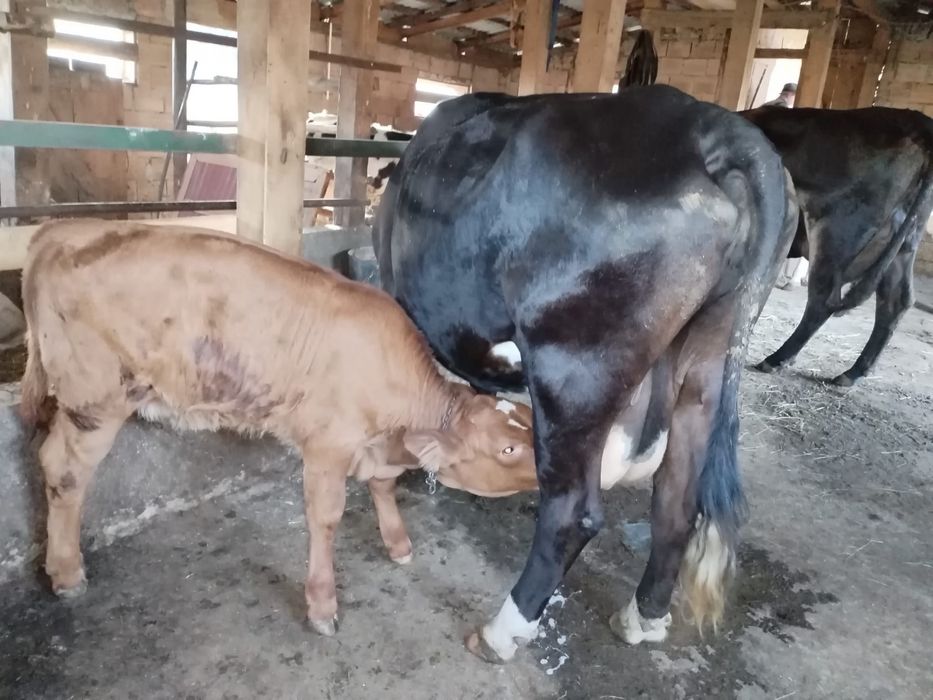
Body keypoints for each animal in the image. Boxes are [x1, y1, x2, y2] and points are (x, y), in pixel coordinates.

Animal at [18, 220, 538, 636]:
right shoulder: (328, 444)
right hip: (95, 397)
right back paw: (66, 572)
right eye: (508, 450)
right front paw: (322, 604)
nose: (553, 470)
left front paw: (397, 543)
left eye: (530, 424)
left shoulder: (376, 445)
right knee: (63, 469)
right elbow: (326, 518)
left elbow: (383, 485)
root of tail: (61, 230)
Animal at [374, 85, 798, 662]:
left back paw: (502, 631)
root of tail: (713, 127)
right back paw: (644, 617)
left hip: (574, 369)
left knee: (573, 513)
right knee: (677, 498)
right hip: (709, 358)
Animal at [744, 106, 933, 386]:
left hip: (836, 232)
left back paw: (776, 359)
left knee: (824, 300)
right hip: (902, 245)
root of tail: (919, 122)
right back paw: (852, 374)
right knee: (895, 301)